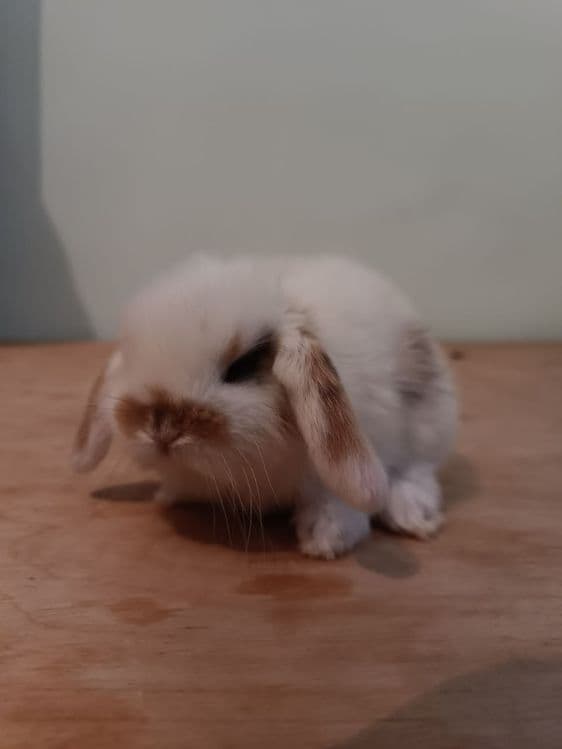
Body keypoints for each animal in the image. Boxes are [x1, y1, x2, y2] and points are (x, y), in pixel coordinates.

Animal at [72, 254, 457, 559]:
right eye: (132, 358)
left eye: (241, 367)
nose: (163, 430)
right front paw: (167, 494)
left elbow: (334, 502)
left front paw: (325, 541)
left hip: (429, 425)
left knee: (417, 469)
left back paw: (412, 513)